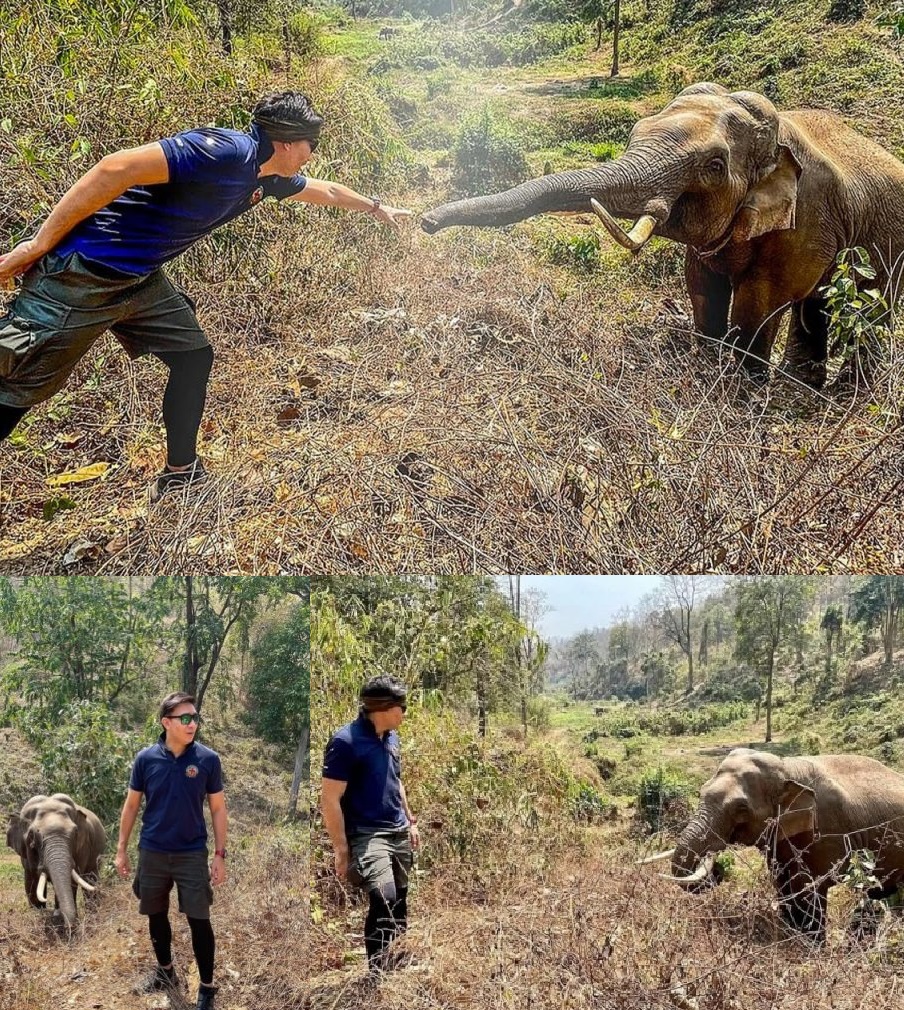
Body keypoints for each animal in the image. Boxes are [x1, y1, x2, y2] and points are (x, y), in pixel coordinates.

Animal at [6, 791, 105, 925]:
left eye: (75, 832)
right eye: (32, 835)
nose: (56, 912)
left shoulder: (83, 847)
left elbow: (72, 881)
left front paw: (58, 919)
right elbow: (31, 882)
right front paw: (39, 915)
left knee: (90, 879)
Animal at [422, 80, 904, 381]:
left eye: (715, 166)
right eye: (636, 131)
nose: (426, 222)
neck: (778, 132)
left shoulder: (806, 220)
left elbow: (761, 300)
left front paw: (741, 392)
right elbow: (702, 286)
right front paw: (707, 367)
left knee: (870, 311)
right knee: (818, 308)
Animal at [638, 747, 904, 941]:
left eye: (741, 808)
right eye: (700, 792)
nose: (718, 868)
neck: (788, 767)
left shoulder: (828, 833)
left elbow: (809, 889)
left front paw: (810, 947)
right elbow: (782, 883)